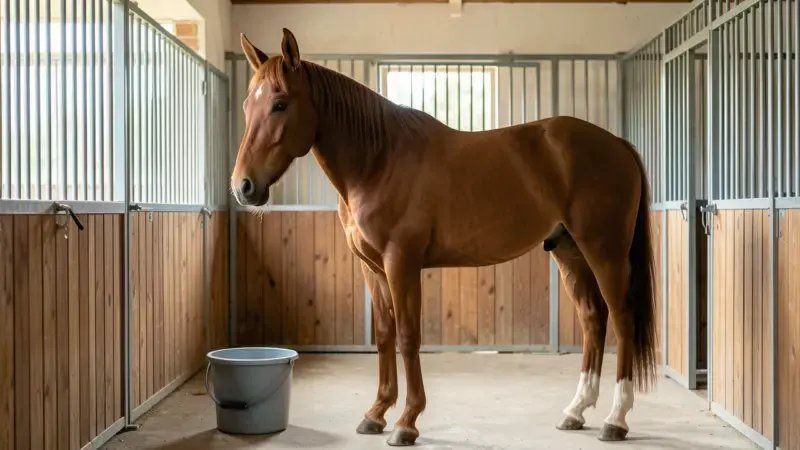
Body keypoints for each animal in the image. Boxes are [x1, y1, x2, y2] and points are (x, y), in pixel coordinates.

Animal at [230, 28, 659, 447]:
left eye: (280, 103)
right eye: (246, 107)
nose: (243, 187)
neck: (378, 161)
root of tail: (618, 144)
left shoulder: (401, 262)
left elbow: (407, 336)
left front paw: (406, 421)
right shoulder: (373, 267)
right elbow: (384, 335)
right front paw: (376, 414)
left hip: (604, 251)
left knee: (622, 319)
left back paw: (615, 420)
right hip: (569, 252)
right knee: (593, 319)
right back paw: (575, 411)